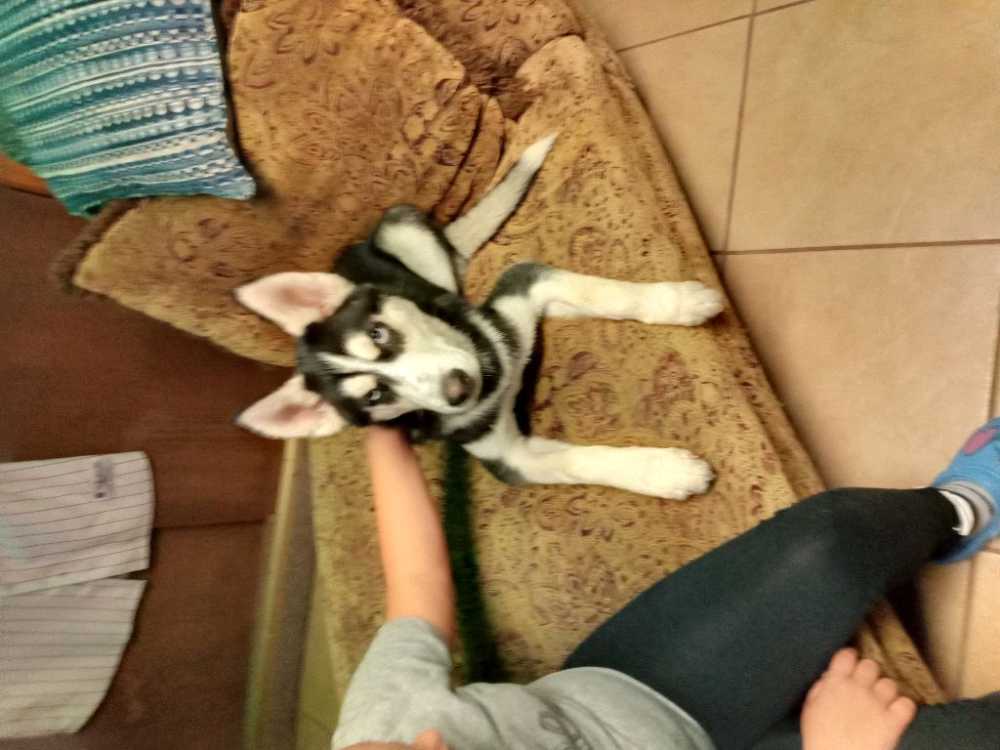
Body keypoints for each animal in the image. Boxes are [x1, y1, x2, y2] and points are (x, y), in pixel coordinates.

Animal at [235, 134, 723, 499]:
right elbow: (579, 461)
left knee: (453, 263)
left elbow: (605, 291)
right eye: (375, 396)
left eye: (378, 333)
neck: (496, 378)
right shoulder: (511, 459)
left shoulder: (524, 286)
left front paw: (679, 302)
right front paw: (665, 472)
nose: (458, 389)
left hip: (402, 225)